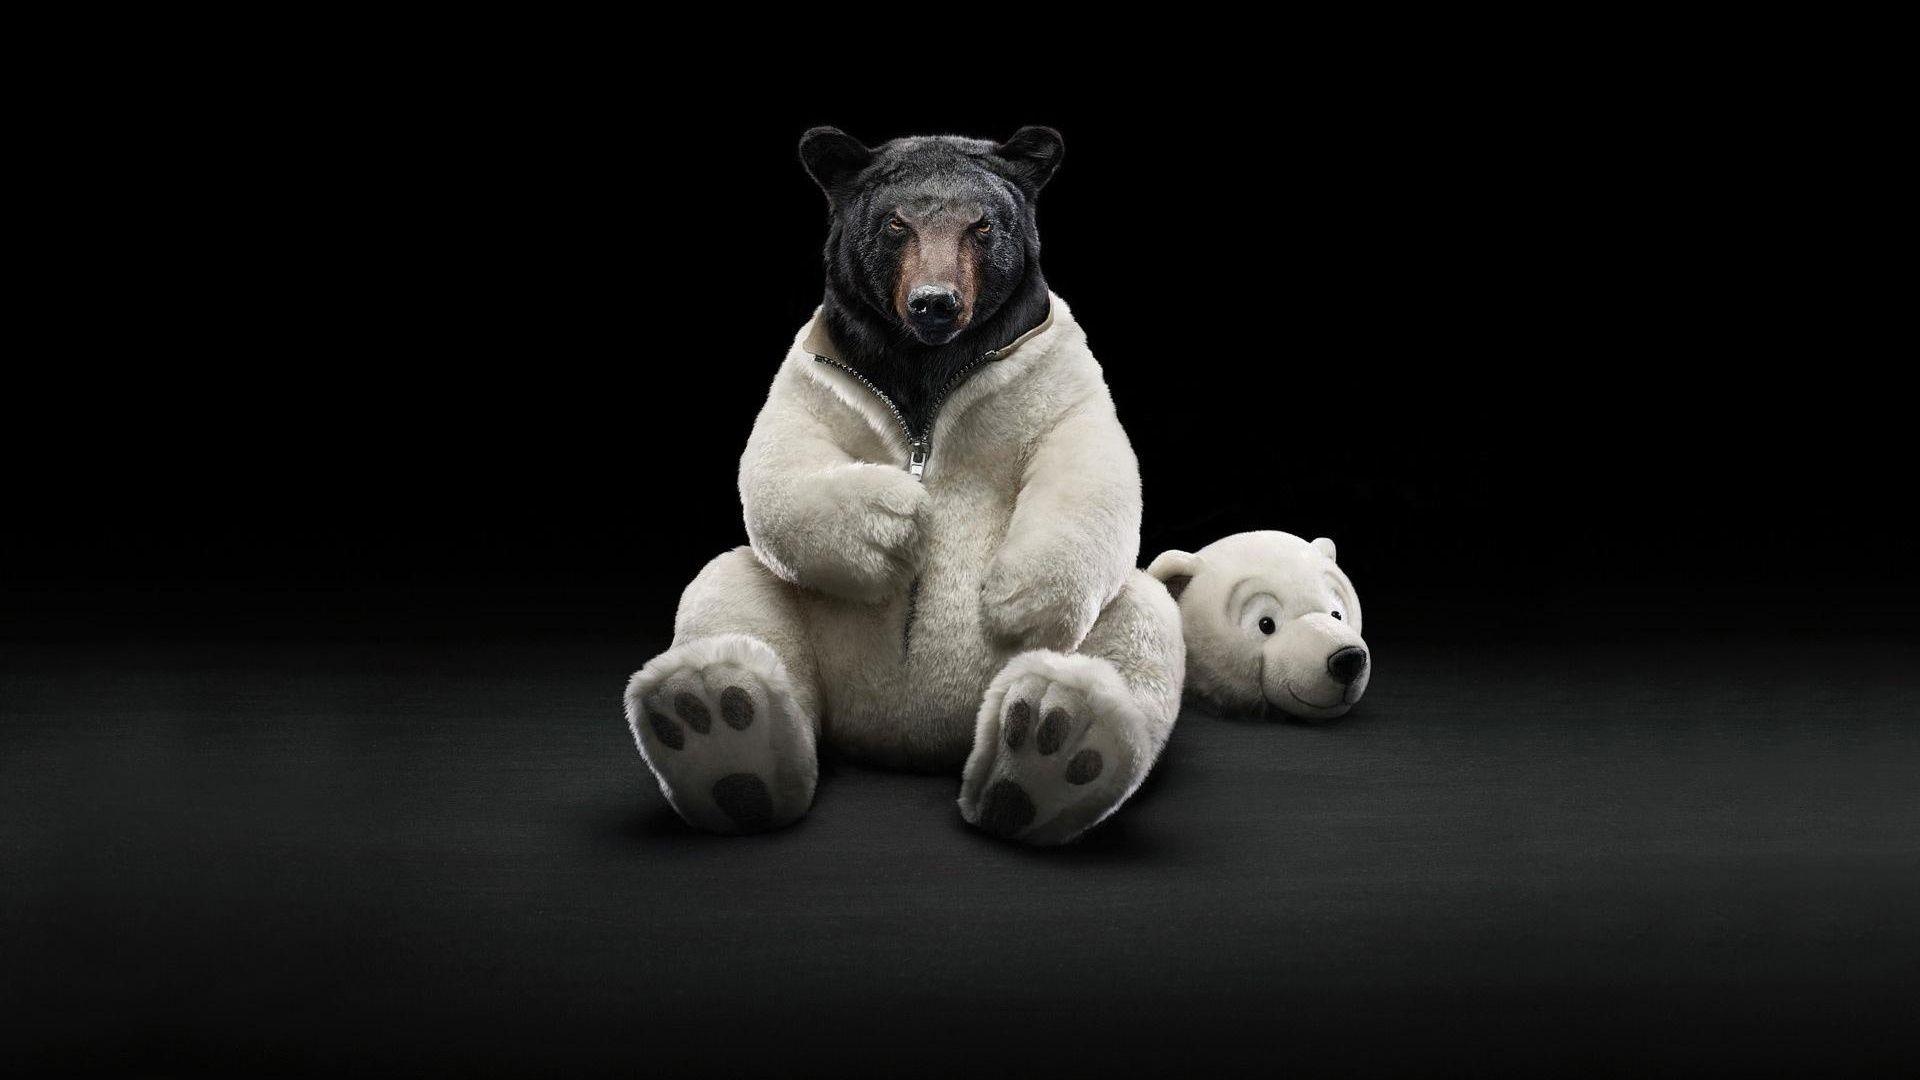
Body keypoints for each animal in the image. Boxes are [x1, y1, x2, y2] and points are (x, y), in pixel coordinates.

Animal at [624, 126, 1185, 846]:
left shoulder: (1053, 372)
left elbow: (1087, 457)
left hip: (1107, 627)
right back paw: (717, 728)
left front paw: (1016, 599)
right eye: (896, 224)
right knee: (732, 592)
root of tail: (906, 741)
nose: (935, 303)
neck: (926, 364)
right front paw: (896, 523)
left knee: (1136, 622)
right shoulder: (818, 373)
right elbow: (781, 459)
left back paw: (1050, 748)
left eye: (982, 225)